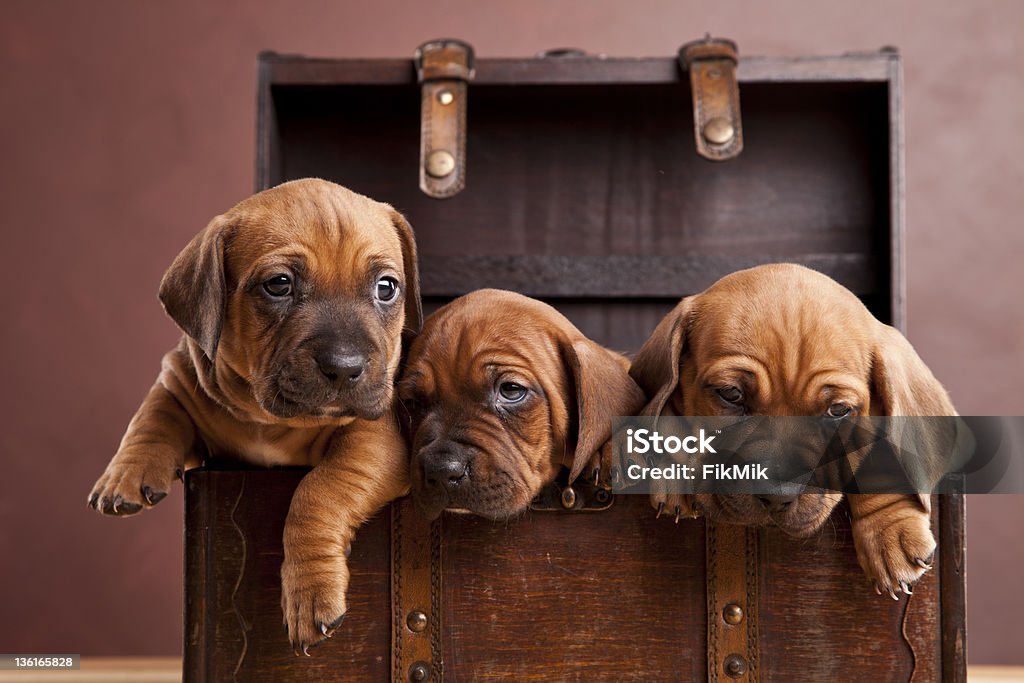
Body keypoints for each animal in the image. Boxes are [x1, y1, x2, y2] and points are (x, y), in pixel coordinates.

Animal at [88, 179, 419, 655]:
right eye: (278, 285)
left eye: (386, 288)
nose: (345, 367)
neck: (267, 417)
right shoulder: (180, 377)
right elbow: (153, 414)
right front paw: (125, 474)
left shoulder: (376, 439)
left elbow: (320, 488)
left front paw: (310, 591)